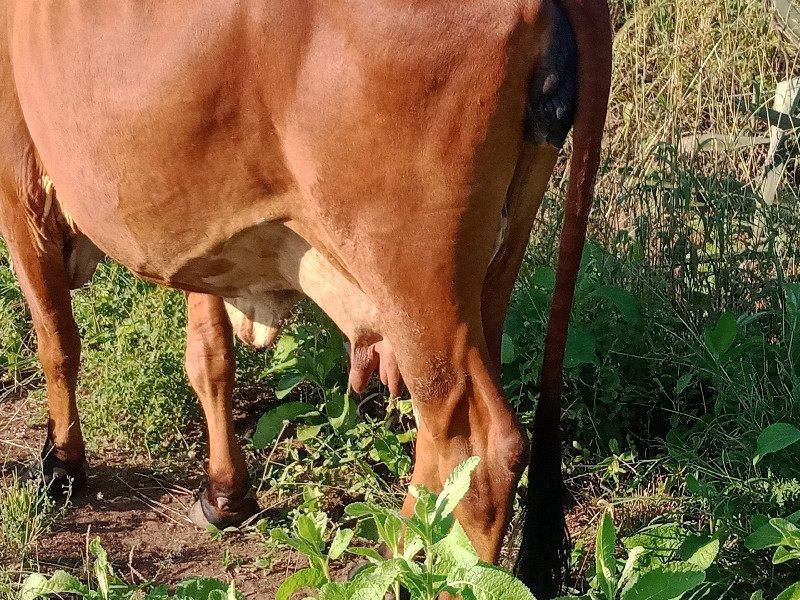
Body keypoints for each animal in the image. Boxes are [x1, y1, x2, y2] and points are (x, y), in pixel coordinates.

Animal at [1, 0, 612, 596]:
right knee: (441, 442)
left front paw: (61, 466)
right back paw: (395, 560)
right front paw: (225, 496)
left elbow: (56, 340)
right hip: (490, 266)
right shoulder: (202, 233)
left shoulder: (18, 184)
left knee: (481, 450)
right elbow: (208, 356)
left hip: (411, 274)